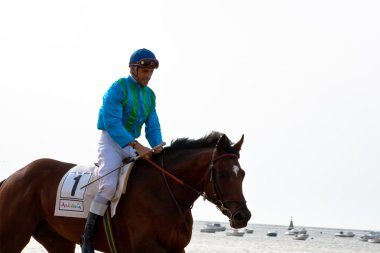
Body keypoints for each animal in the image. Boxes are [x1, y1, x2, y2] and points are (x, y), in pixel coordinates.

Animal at [0, 132, 252, 253]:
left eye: (242, 174)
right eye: (223, 174)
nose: (242, 216)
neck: (166, 192)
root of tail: (12, 177)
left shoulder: (177, 248)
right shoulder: (147, 248)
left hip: (56, 240)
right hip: (12, 237)